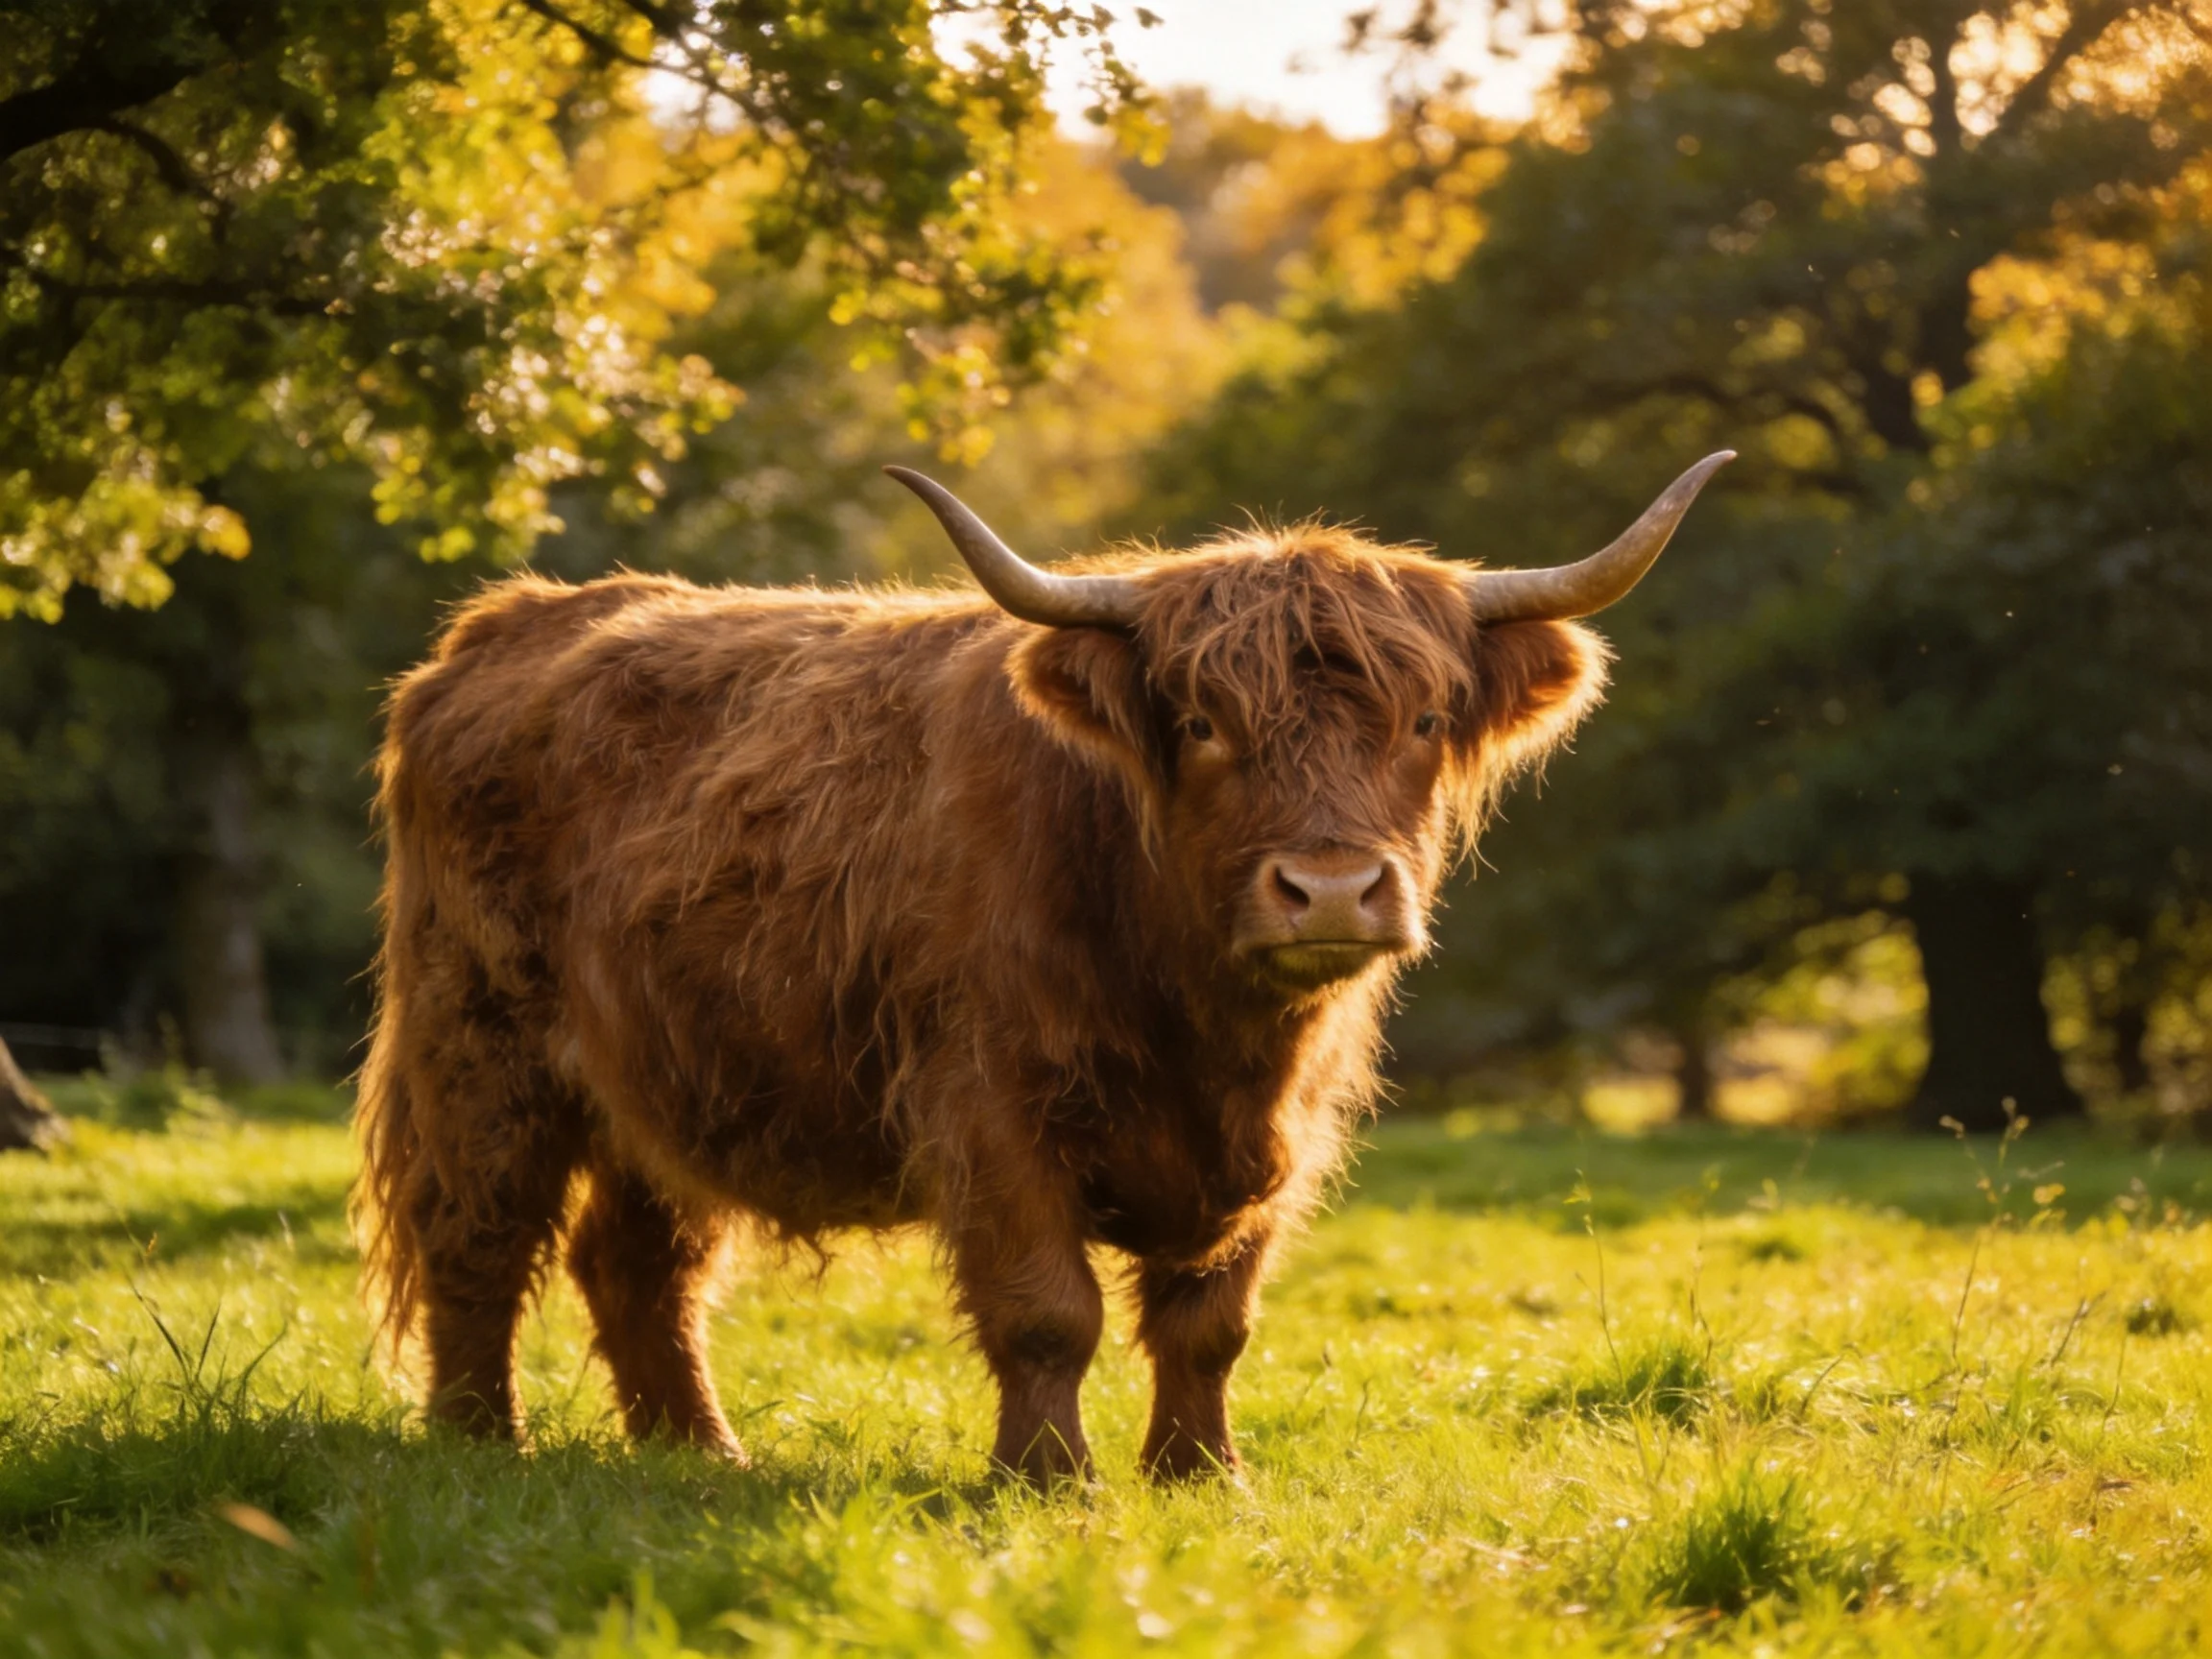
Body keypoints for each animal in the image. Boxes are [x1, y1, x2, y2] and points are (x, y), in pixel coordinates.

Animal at [353, 453, 1732, 1482]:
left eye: (1428, 720)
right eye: (1200, 724)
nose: (1332, 890)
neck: (1201, 1021)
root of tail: (510, 621)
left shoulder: (1285, 1133)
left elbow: (1211, 1322)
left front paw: (1202, 1475)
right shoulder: (989, 1108)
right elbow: (1046, 1309)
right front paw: (1050, 1482)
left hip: (669, 1071)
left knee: (637, 1263)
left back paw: (701, 1456)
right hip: (482, 1038)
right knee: (477, 1230)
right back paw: (481, 1444)